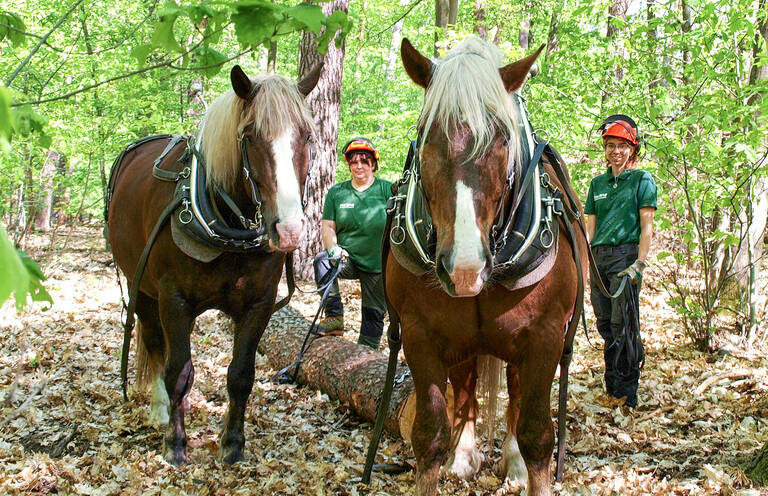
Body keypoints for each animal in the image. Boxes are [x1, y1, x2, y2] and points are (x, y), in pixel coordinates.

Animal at [106, 65, 320, 464]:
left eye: (307, 135)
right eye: (250, 136)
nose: (289, 229)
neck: (227, 224)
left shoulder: (259, 304)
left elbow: (241, 374)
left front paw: (233, 443)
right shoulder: (173, 301)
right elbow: (178, 371)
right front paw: (175, 443)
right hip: (140, 287)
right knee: (154, 342)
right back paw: (160, 411)